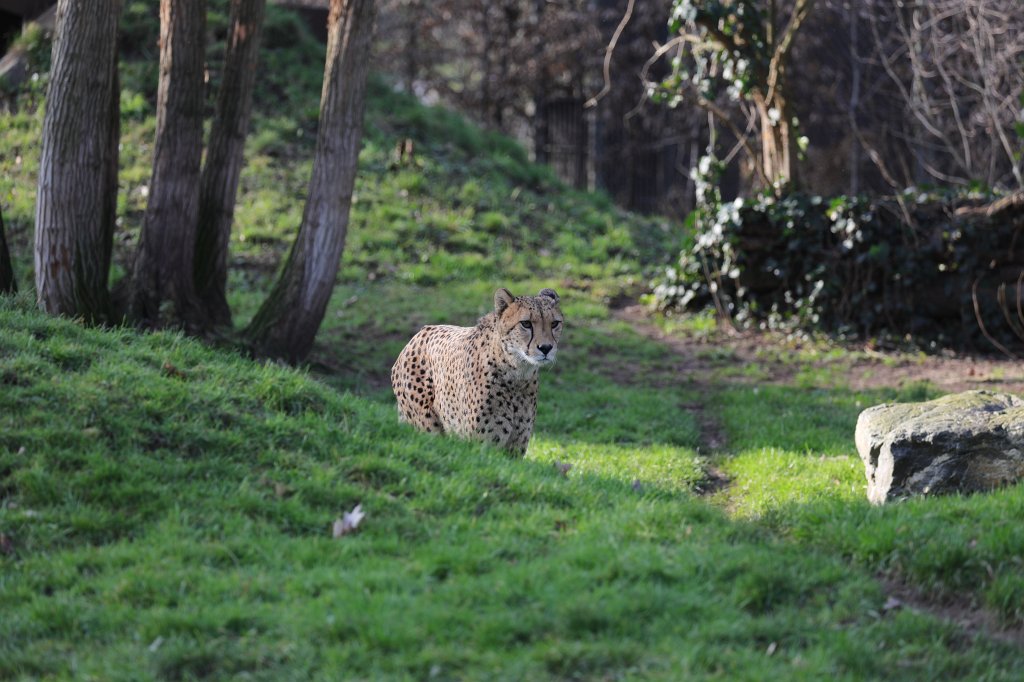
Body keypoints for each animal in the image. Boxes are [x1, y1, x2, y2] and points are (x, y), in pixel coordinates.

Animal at [390, 287, 563, 455]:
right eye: (526, 323)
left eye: (554, 323)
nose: (546, 348)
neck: (517, 374)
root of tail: (421, 332)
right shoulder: (481, 446)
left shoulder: (515, 449)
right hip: (427, 428)